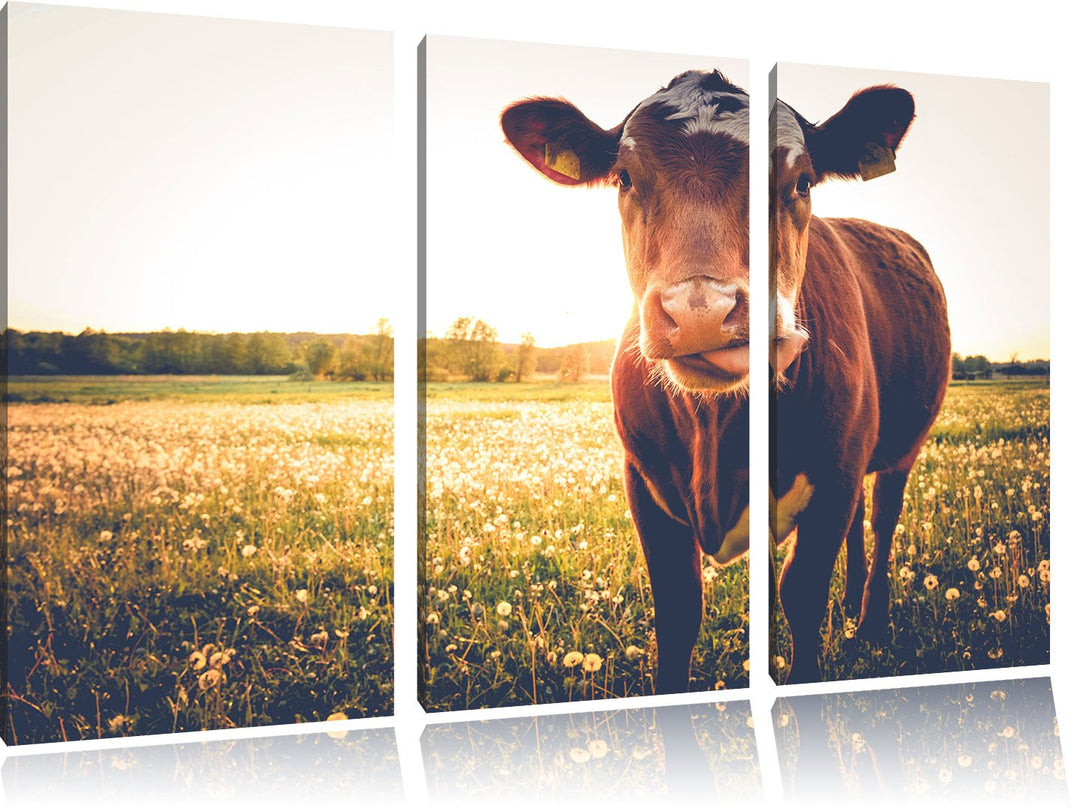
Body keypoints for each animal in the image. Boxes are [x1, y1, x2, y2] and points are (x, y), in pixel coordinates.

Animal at [501, 70, 949, 689]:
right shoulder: (643, 482)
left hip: (901, 446)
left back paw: (870, 622)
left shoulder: (835, 475)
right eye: (624, 177)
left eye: (801, 181)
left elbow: (801, 595)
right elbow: (678, 609)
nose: (701, 311)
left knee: (882, 518)